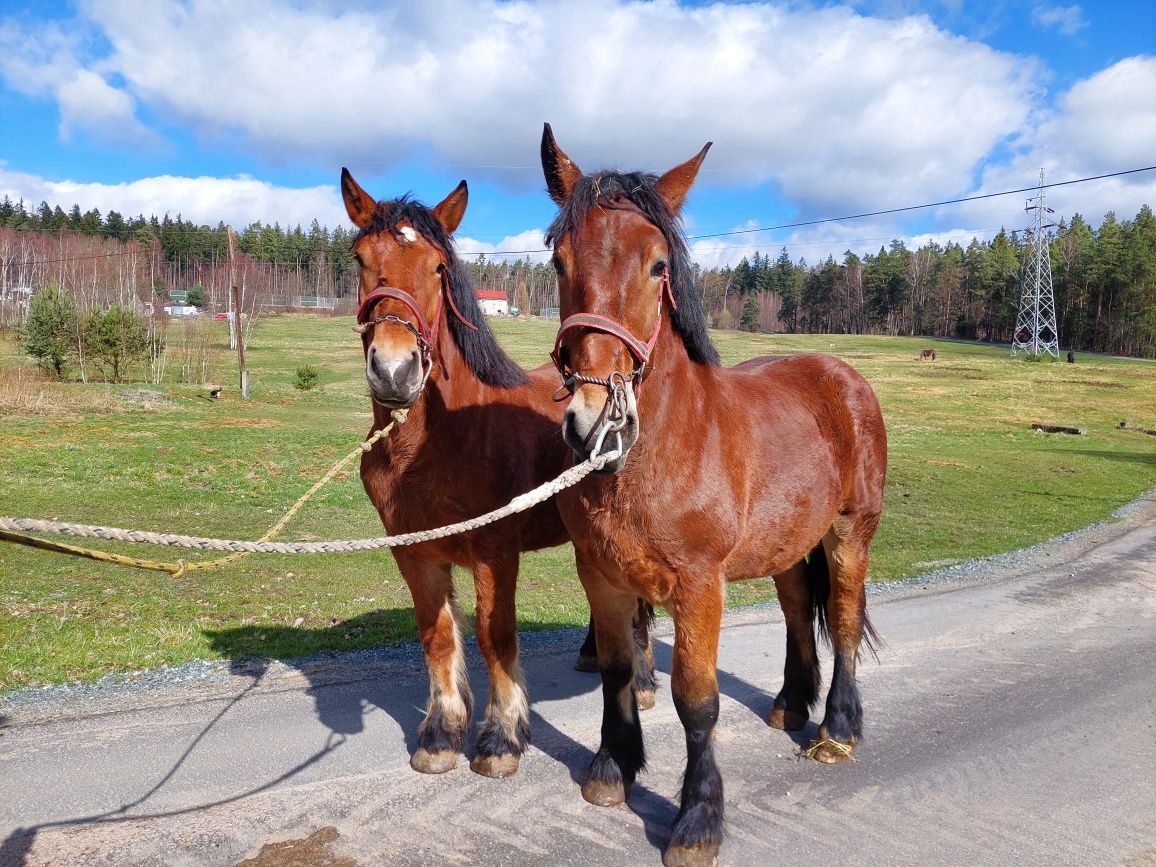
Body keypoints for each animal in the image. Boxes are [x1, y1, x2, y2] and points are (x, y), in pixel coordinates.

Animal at [337, 169, 656, 781]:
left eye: (439, 267)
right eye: (360, 259)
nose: (394, 371)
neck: (434, 444)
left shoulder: (495, 552)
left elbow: (495, 636)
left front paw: (502, 737)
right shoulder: (413, 554)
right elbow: (437, 635)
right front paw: (442, 734)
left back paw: (646, 680)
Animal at [536, 127, 887, 867]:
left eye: (657, 265)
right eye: (558, 260)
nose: (592, 421)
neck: (656, 449)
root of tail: (843, 377)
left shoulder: (699, 586)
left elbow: (696, 698)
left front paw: (698, 817)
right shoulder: (601, 576)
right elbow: (618, 671)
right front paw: (612, 768)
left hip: (850, 531)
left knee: (842, 619)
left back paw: (837, 728)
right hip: (790, 543)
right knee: (797, 611)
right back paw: (792, 703)